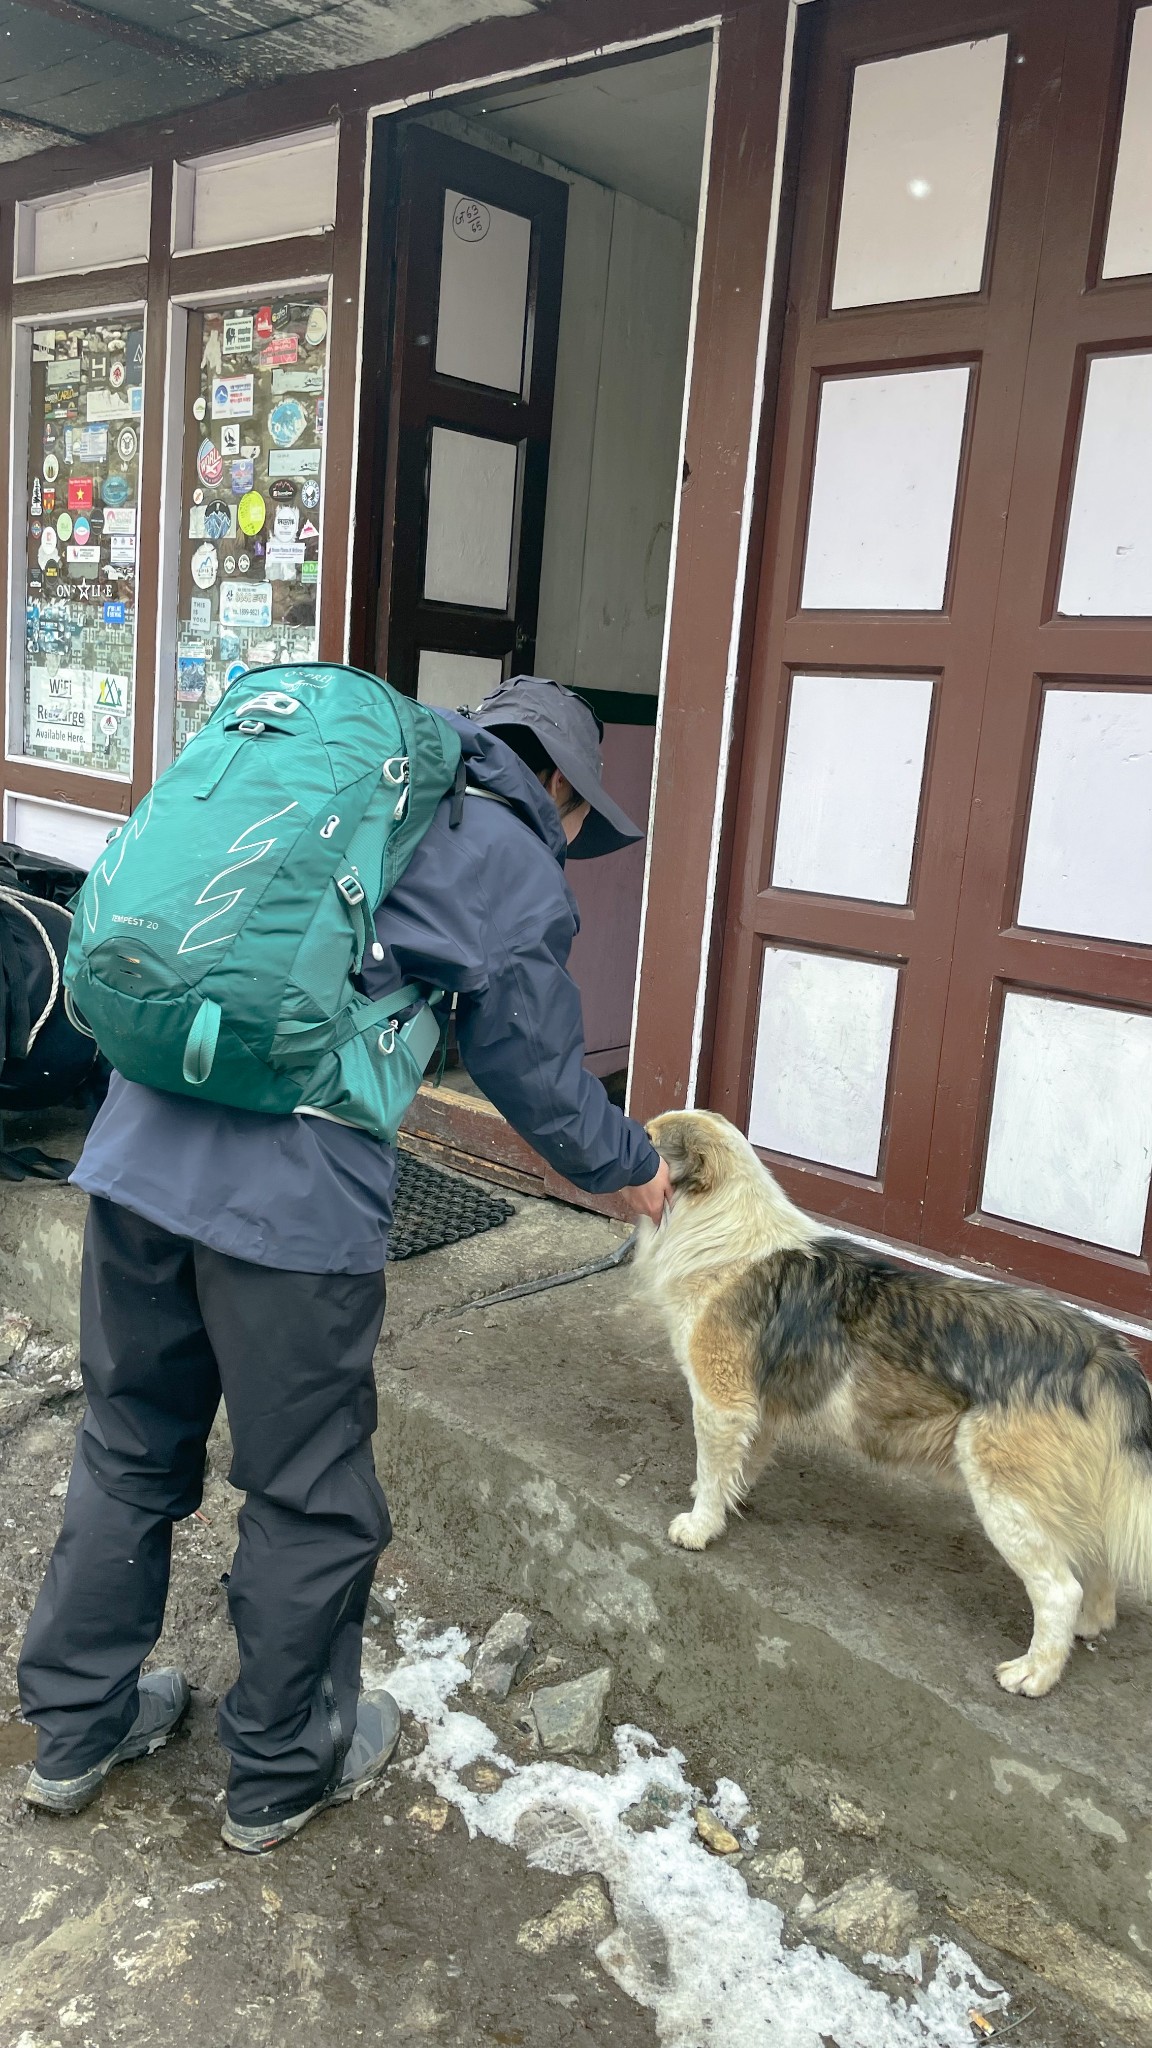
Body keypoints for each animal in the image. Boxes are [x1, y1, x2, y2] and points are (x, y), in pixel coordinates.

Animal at [635, 1114, 1147, 1703]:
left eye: (649, 1138)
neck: (721, 1227)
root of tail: (1105, 1351)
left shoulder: (721, 1401)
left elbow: (715, 1464)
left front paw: (698, 1527)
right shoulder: (756, 1410)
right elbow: (736, 1467)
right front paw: (717, 1503)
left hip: (1006, 1496)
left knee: (1060, 1590)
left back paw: (1034, 1673)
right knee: (1096, 1564)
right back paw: (1091, 1623)